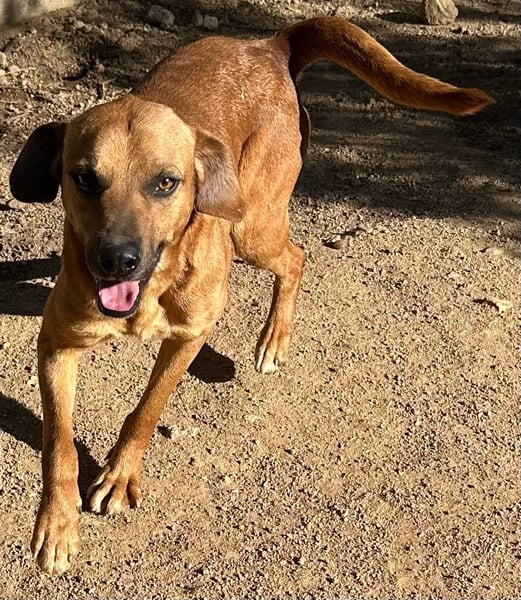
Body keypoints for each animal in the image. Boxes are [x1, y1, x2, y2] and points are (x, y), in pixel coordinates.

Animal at [10, 17, 493, 574]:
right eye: (84, 178)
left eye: (166, 182)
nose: (117, 260)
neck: (149, 291)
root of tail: (269, 45)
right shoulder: (57, 343)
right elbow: (59, 442)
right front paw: (57, 523)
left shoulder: (189, 335)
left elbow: (147, 410)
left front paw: (119, 474)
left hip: (251, 224)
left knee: (297, 258)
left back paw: (273, 340)